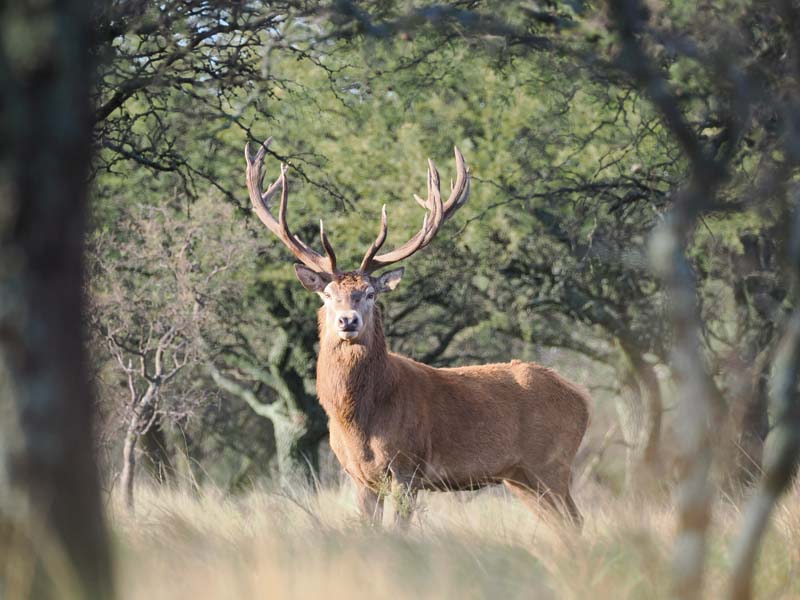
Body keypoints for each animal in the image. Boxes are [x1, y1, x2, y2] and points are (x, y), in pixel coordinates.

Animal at [243, 138, 590, 527]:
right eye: (328, 294)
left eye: (370, 293)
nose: (348, 321)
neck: (359, 421)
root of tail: (583, 398)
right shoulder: (357, 476)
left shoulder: (407, 467)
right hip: (521, 476)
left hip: (552, 464)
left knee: (575, 521)